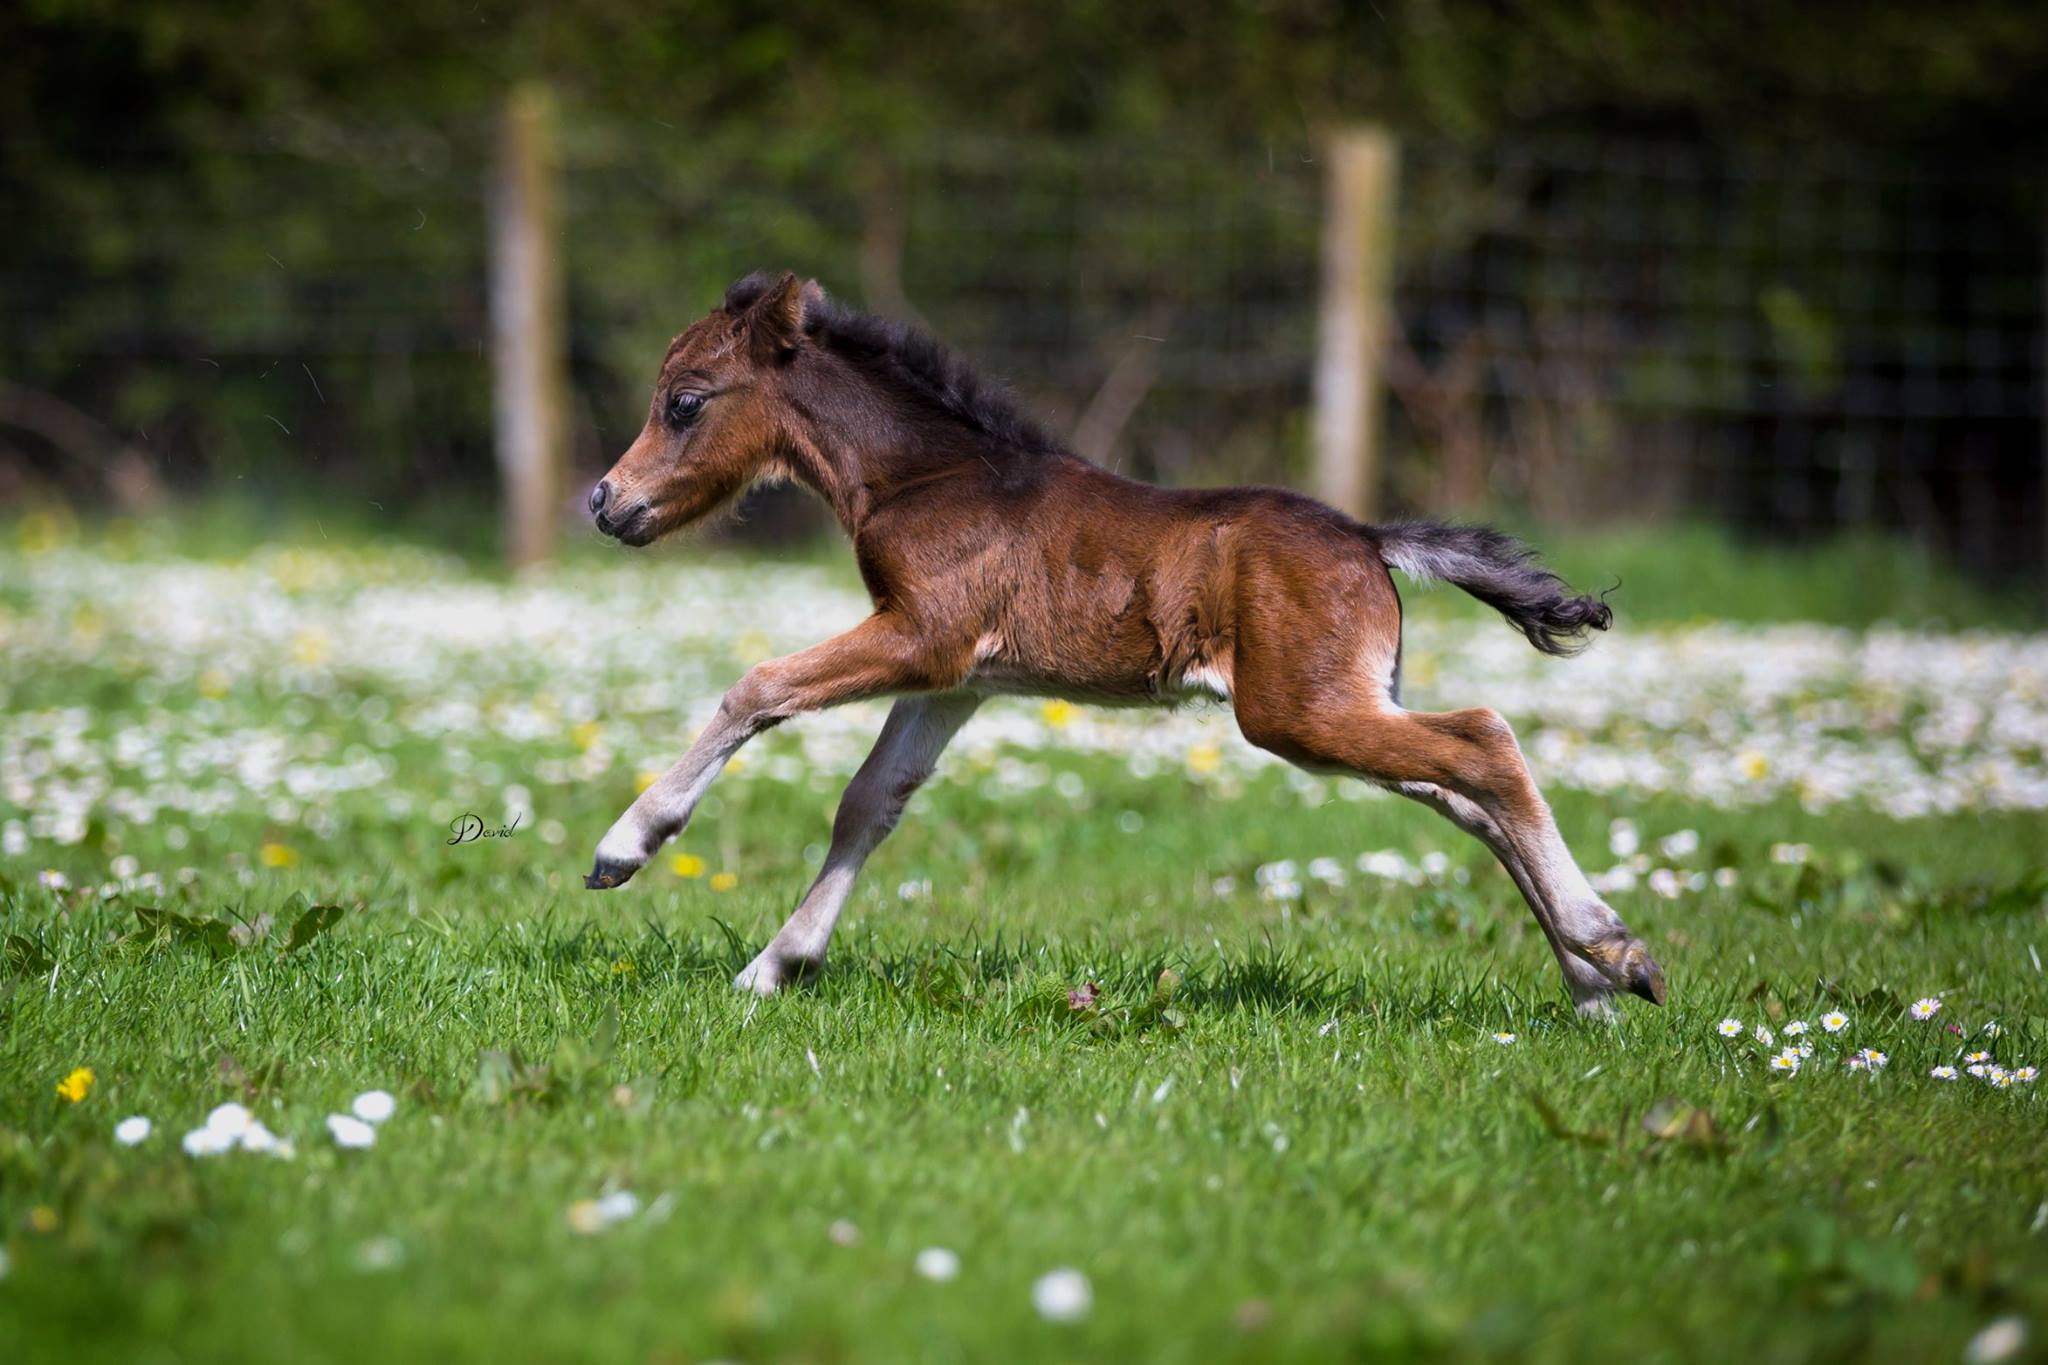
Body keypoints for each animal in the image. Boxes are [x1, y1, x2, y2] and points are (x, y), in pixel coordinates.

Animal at [584, 271, 1664, 1014]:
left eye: (684, 401)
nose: (604, 501)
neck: (924, 477)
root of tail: (1369, 537)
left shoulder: (922, 637)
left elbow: (758, 686)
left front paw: (626, 845)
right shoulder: (956, 681)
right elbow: (870, 804)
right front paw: (775, 967)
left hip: (1297, 712)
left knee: (1484, 742)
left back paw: (1606, 945)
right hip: (1343, 702)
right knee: (1466, 796)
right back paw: (1599, 983)